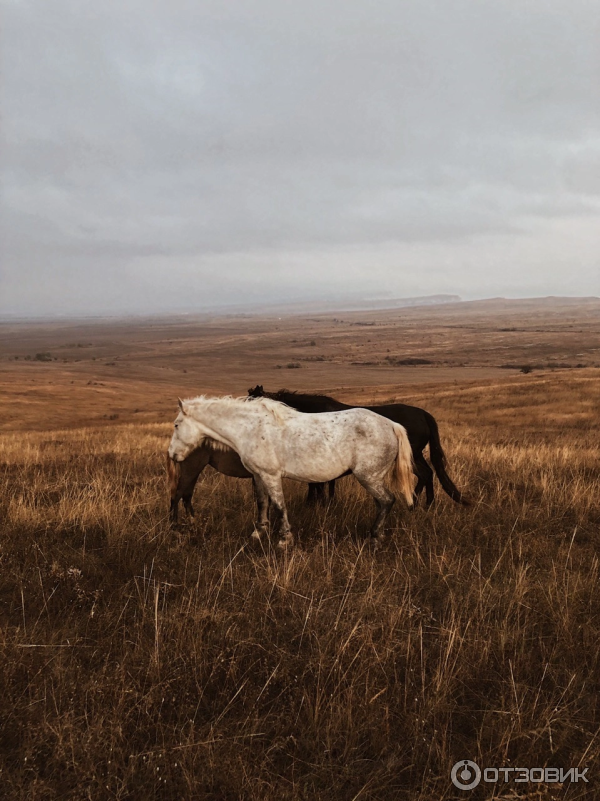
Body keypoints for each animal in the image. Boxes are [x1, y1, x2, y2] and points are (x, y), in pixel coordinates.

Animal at [166, 396, 414, 548]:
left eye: (177, 424)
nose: (172, 454)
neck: (250, 428)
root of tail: (392, 425)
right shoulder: (258, 476)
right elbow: (262, 503)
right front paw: (259, 533)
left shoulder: (271, 475)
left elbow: (279, 505)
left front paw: (284, 539)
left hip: (369, 477)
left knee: (386, 500)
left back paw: (375, 537)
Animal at [247, 382, 468, 506]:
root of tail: (423, 414)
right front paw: (324, 503)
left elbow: (317, 483)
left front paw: (316, 504)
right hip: (416, 454)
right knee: (427, 473)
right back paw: (423, 503)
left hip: (412, 454)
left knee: (425, 474)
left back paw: (418, 503)